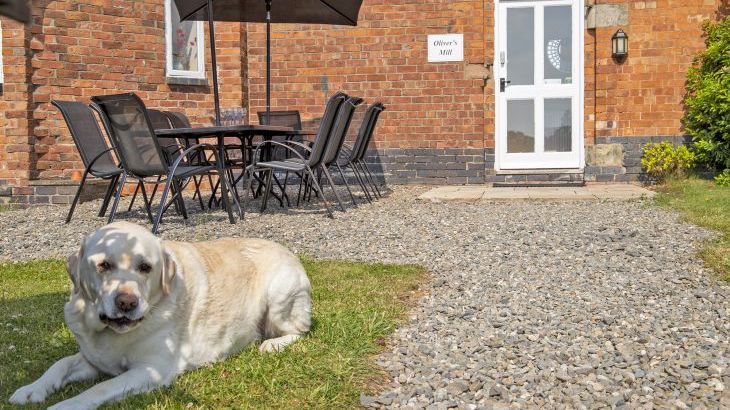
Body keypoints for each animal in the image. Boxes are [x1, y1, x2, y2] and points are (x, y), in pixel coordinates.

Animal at [8, 223, 310, 408]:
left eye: (145, 267)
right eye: (104, 265)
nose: (127, 302)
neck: (110, 334)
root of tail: (288, 251)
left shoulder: (150, 369)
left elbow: (99, 389)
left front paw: (66, 405)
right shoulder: (93, 359)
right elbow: (59, 365)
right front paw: (31, 389)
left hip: (280, 294)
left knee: (301, 330)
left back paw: (272, 344)